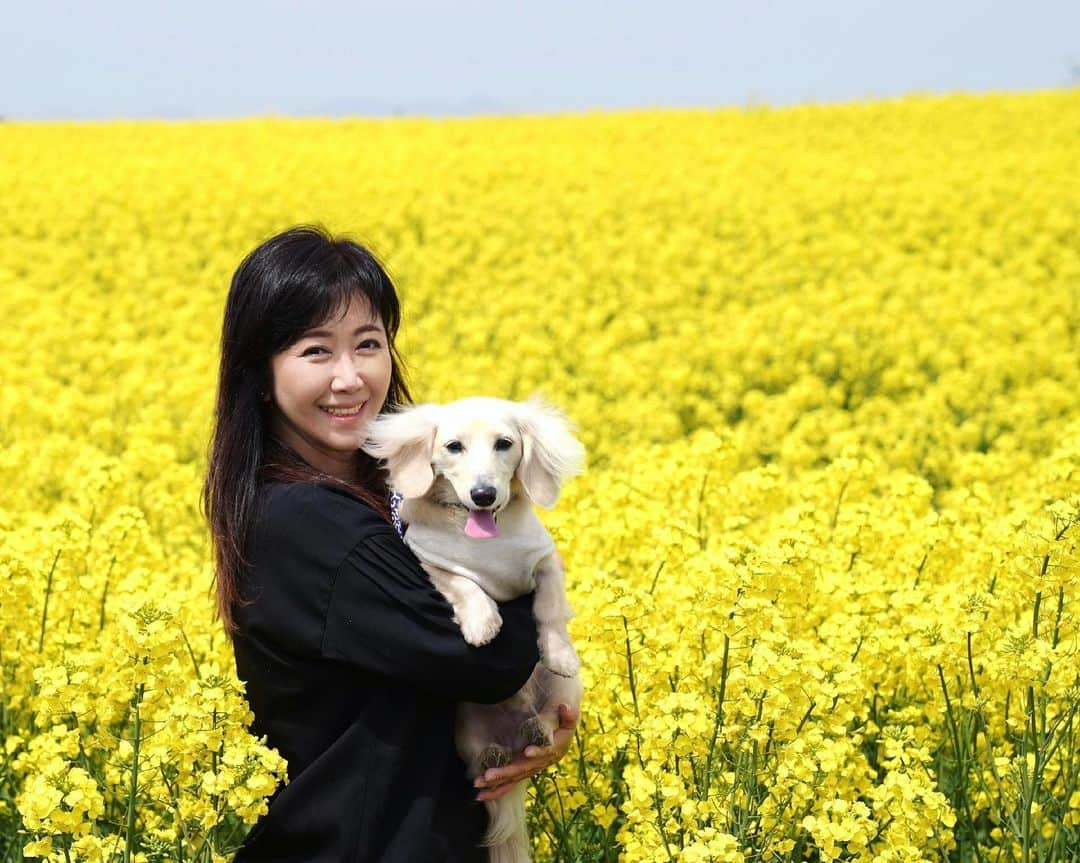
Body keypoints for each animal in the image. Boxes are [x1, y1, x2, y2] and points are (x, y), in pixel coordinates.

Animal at [360, 397, 583, 863]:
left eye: (504, 444)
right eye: (453, 446)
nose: (484, 494)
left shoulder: (545, 560)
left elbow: (550, 608)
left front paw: (560, 652)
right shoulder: (432, 563)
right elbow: (465, 586)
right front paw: (483, 623)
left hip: (564, 695)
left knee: (547, 719)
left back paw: (537, 728)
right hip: (463, 727)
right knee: (481, 759)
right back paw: (495, 753)